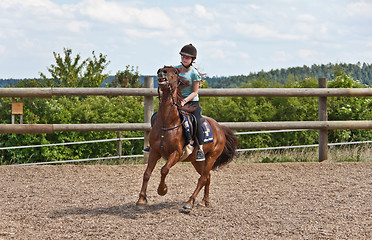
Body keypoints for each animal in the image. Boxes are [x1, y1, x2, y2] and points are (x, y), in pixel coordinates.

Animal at [137, 65, 238, 210]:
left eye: (175, 72)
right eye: (162, 68)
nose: (161, 72)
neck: (167, 123)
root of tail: (220, 128)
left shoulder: (176, 153)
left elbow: (164, 169)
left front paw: (162, 190)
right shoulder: (154, 152)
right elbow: (146, 173)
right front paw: (141, 200)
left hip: (212, 157)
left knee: (203, 178)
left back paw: (190, 202)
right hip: (197, 161)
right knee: (207, 177)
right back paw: (204, 201)